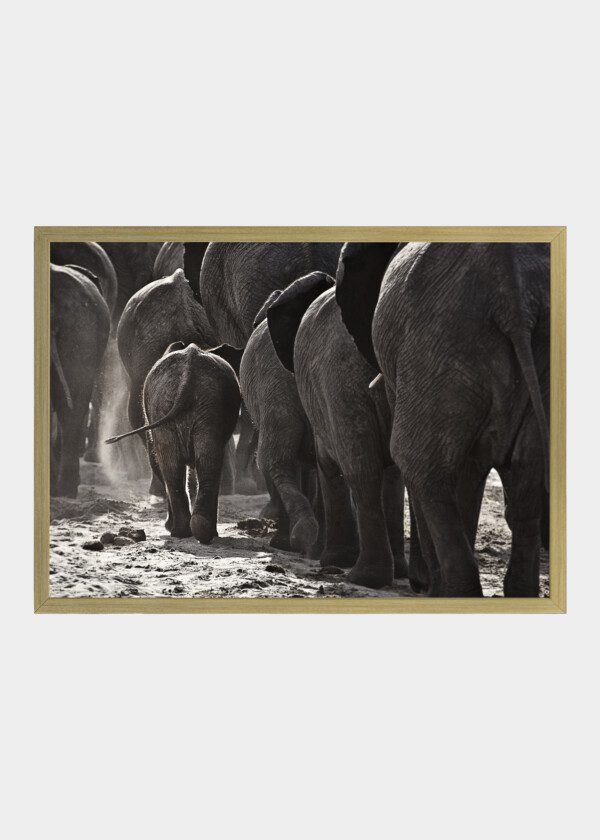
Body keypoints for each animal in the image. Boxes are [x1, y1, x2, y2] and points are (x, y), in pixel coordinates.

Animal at [50, 265, 110, 497]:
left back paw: (62, 490)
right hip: (83, 328)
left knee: (71, 406)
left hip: (82, 329)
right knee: (73, 405)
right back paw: (64, 490)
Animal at [106, 343, 240, 543]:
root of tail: (188, 371)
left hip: (191, 406)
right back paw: (192, 531)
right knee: (196, 462)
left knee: (179, 464)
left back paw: (187, 531)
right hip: (191, 406)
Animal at [267, 272, 410, 588]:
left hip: (340, 384)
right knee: (388, 472)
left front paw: (330, 560)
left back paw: (364, 576)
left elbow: (328, 465)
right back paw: (394, 574)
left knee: (361, 468)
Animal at [336, 242, 550, 597]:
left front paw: (424, 584)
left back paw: (450, 592)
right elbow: (473, 467)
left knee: (421, 465)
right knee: (526, 475)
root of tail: (512, 292)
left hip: (439, 338)